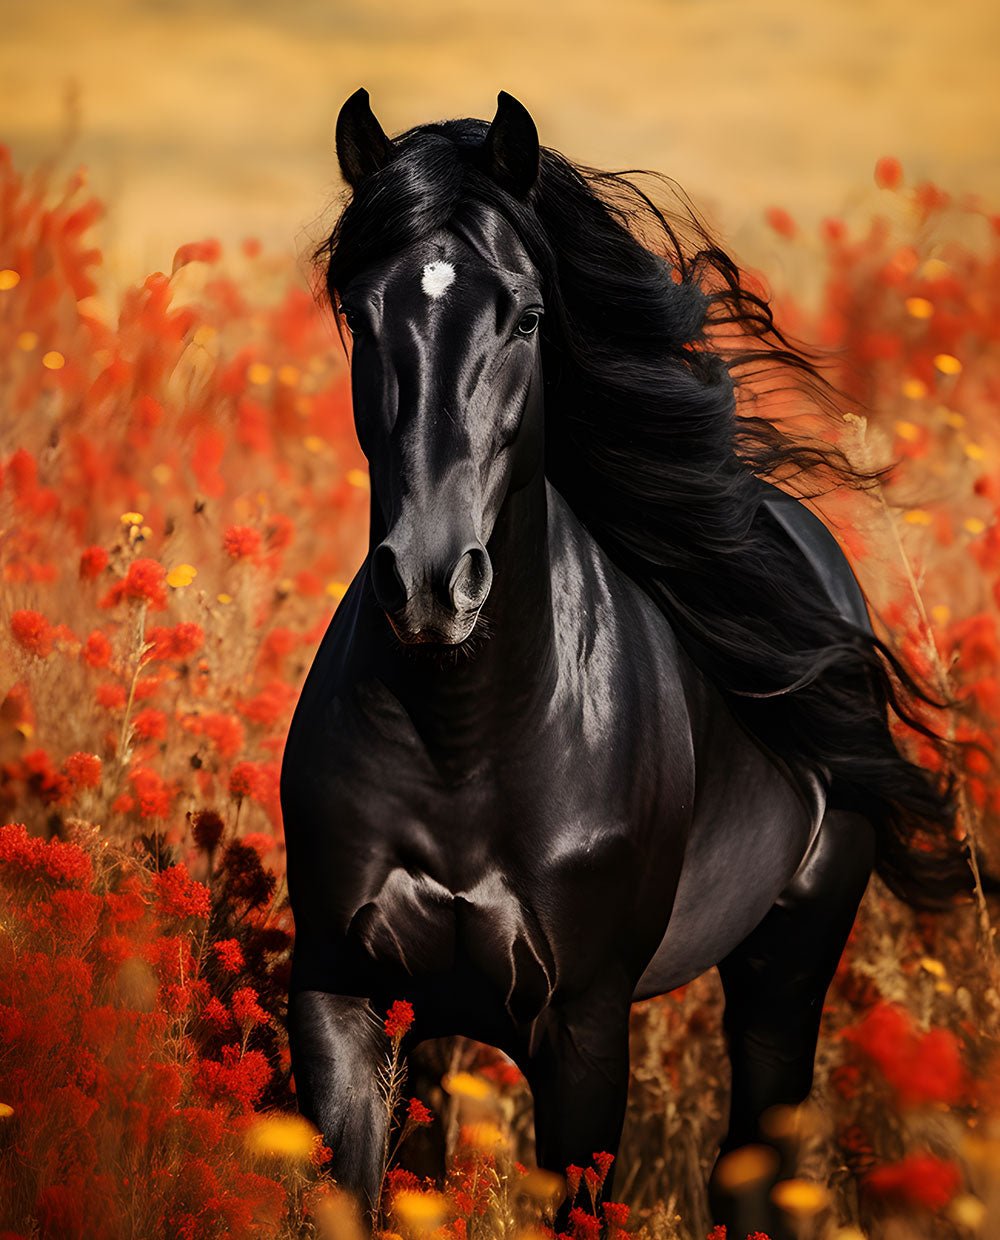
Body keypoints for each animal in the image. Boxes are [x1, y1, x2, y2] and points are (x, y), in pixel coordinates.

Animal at [279, 89, 983, 1237]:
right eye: (362, 314)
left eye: (526, 317)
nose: (430, 582)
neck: (464, 741)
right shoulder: (342, 999)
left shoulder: (582, 1030)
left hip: (786, 968)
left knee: (756, 1165)